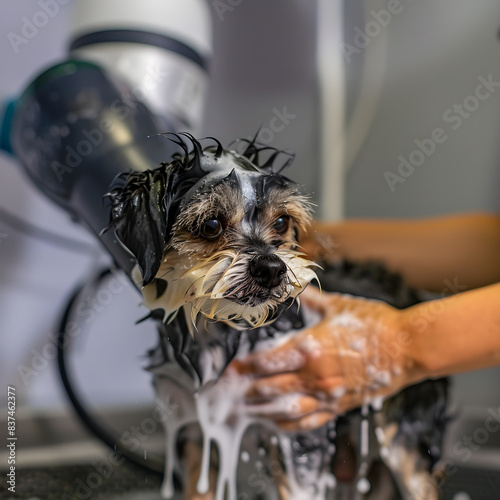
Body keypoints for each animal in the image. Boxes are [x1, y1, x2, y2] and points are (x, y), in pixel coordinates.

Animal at [107, 133, 448, 500]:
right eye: (211, 224)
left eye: (282, 222)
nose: (271, 268)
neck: (220, 339)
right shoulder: (195, 430)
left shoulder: (298, 432)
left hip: (404, 435)